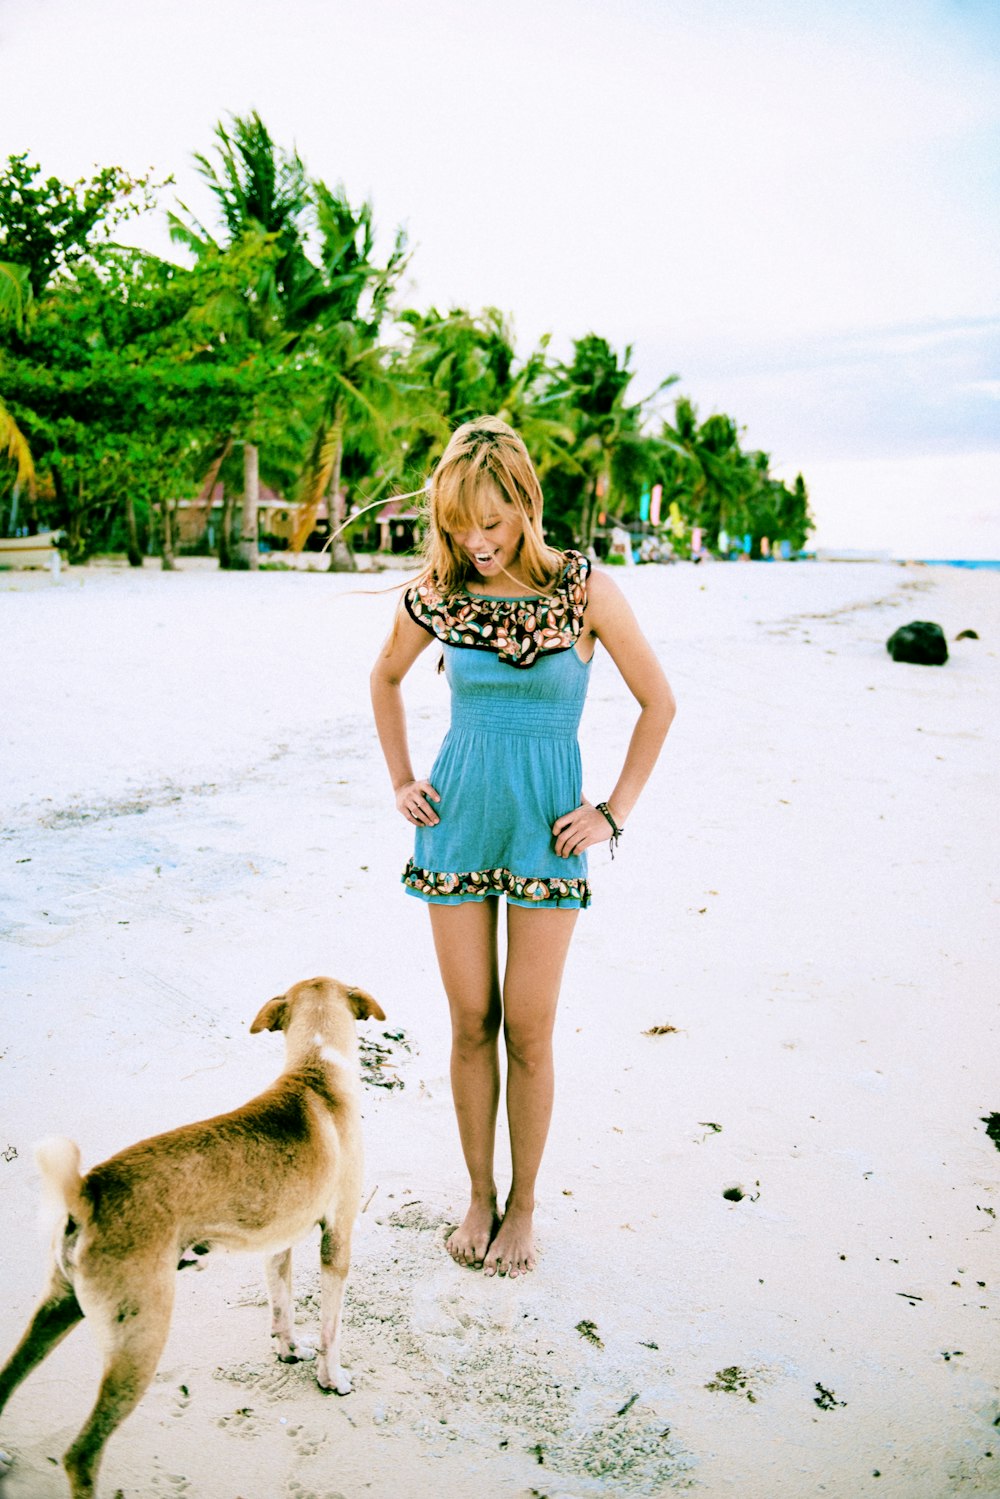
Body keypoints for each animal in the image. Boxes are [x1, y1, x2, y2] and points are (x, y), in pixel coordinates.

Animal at [0, 977, 383, 1493]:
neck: (316, 1067)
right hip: (140, 1342)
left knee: (6, 1383)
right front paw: (331, 1378)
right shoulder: (337, 1241)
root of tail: (90, 1189)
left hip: (56, 1309)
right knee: (81, 1454)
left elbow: (282, 1304)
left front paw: (288, 1350)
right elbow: (331, 1329)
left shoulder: (277, 1245)